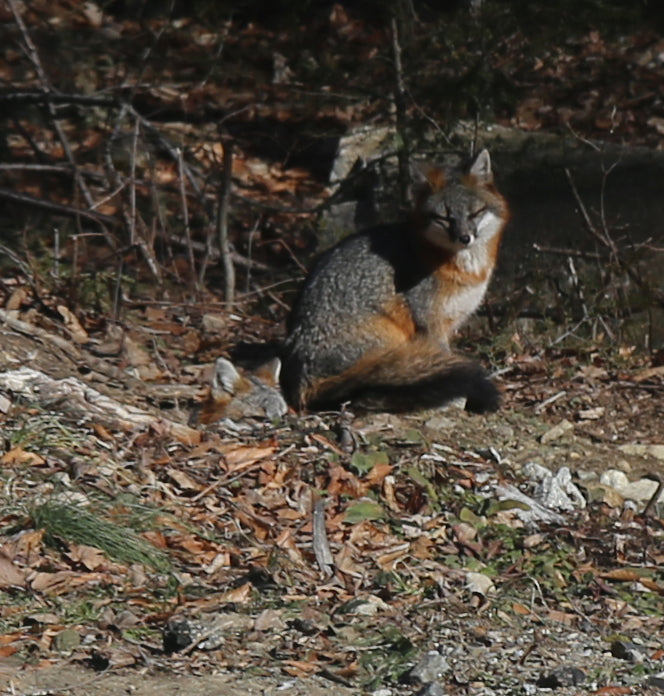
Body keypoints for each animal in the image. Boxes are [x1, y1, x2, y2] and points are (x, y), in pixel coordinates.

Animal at [280, 149, 508, 414]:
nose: (464, 238)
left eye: (475, 213)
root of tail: (302, 379)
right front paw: (456, 401)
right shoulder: (429, 320)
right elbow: (444, 357)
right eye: (444, 217)